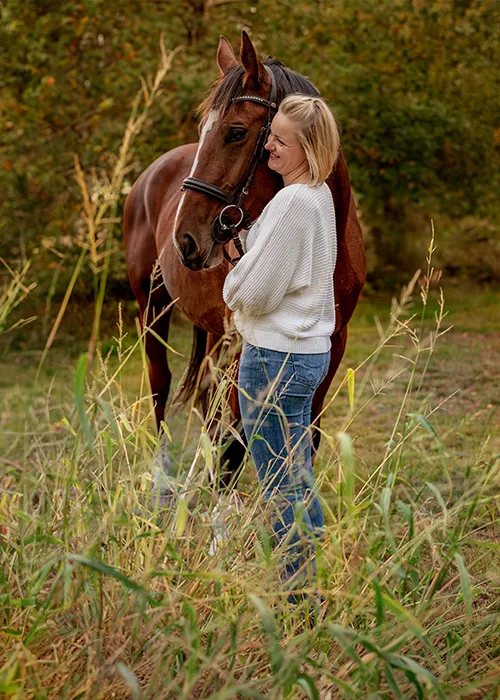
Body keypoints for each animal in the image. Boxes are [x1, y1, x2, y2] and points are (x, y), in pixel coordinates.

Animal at [124, 31, 366, 487]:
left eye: (236, 132)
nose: (185, 240)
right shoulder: (245, 348)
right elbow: (233, 446)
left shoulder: (331, 344)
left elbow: (302, 441)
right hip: (152, 305)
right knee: (161, 386)